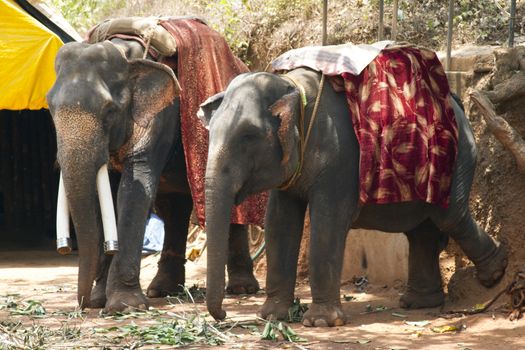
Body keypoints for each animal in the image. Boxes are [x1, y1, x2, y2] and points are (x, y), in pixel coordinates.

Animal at [198, 56, 508, 326]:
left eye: (248, 136)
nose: (223, 315)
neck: (293, 87)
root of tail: (457, 101)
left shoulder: (338, 155)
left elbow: (328, 221)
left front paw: (321, 322)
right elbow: (279, 222)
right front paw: (272, 317)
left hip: (454, 159)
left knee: (449, 216)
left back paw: (495, 273)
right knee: (422, 229)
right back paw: (420, 302)